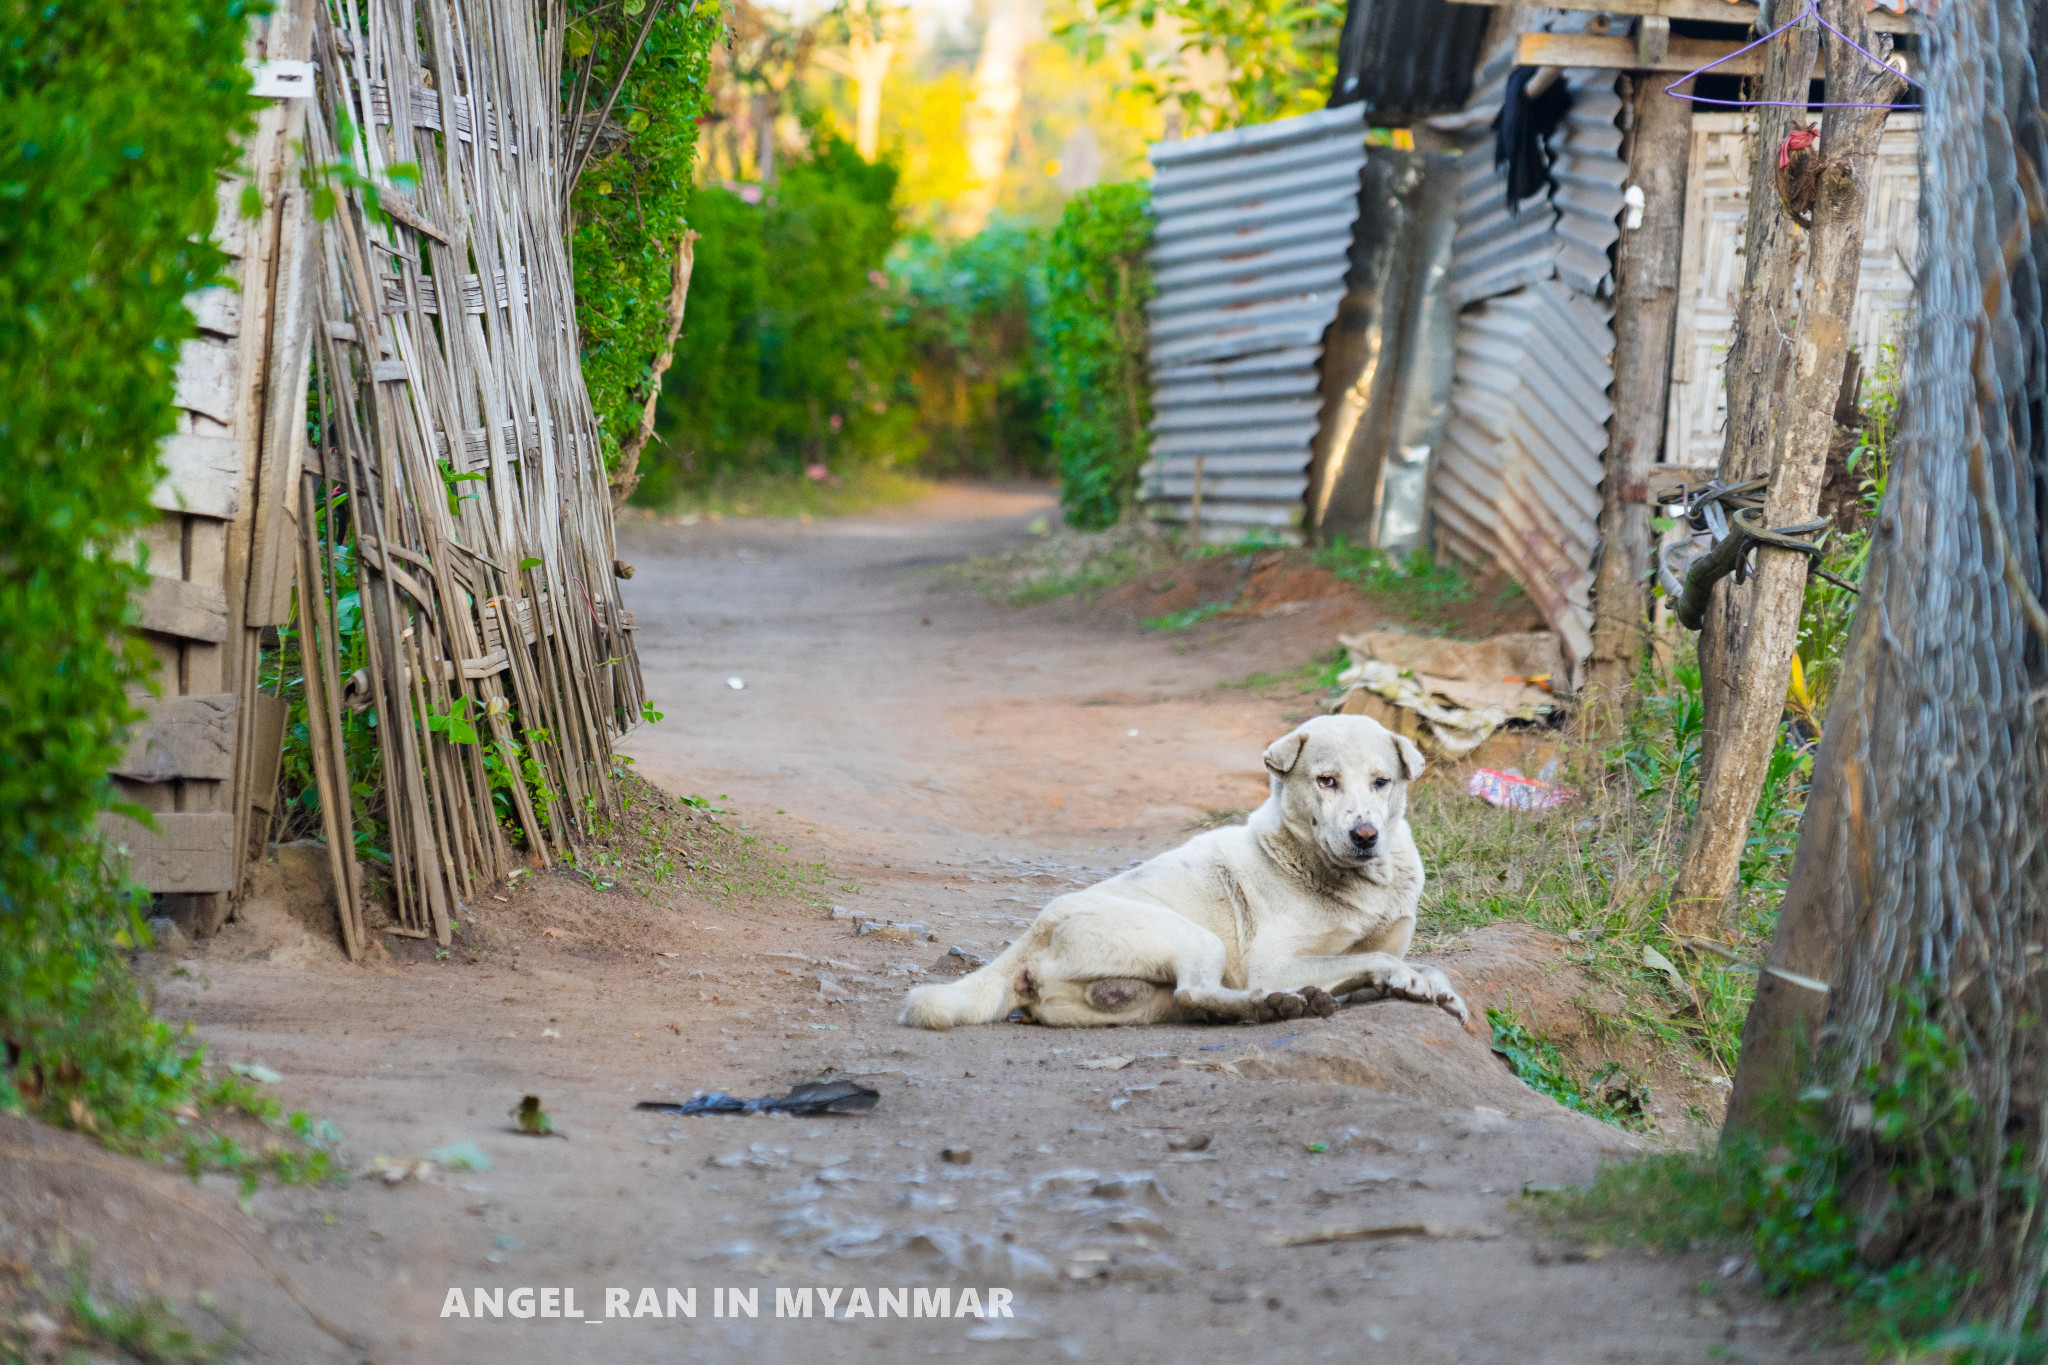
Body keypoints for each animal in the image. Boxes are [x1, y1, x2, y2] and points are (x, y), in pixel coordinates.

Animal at [905, 720, 1466, 1031]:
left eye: (1381, 782)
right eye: (1326, 781)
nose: (1365, 835)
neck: (1362, 883)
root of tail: (1035, 930)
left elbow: (1404, 961)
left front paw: (1433, 988)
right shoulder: (1274, 963)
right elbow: (1377, 959)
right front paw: (1410, 979)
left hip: (1134, 1001)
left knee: (1190, 1002)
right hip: (1194, 938)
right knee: (1194, 991)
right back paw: (1275, 1004)